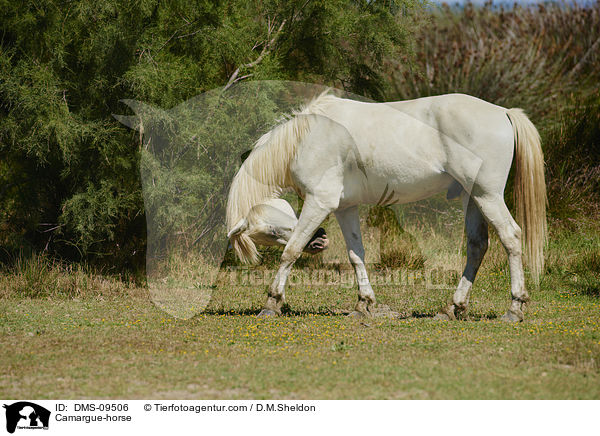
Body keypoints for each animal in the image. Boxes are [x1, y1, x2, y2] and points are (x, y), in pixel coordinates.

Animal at [224, 92, 544, 322]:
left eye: (270, 232)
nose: (320, 238)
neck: (305, 138)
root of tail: (502, 112)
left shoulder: (319, 202)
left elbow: (290, 252)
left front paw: (271, 302)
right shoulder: (344, 208)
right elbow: (356, 255)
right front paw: (363, 304)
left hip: (487, 195)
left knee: (511, 237)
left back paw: (514, 308)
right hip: (473, 198)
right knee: (477, 246)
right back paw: (453, 308)